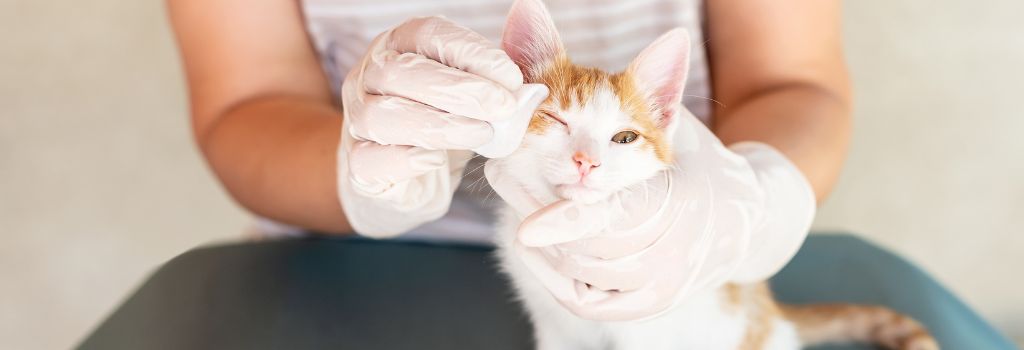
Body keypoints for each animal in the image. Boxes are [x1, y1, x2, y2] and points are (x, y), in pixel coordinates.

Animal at [491, 0, 937, 350]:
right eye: (554, 119)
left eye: (625, 137)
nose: (587, 160)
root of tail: (775, 316)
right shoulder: (553, 324)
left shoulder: (652, 325)